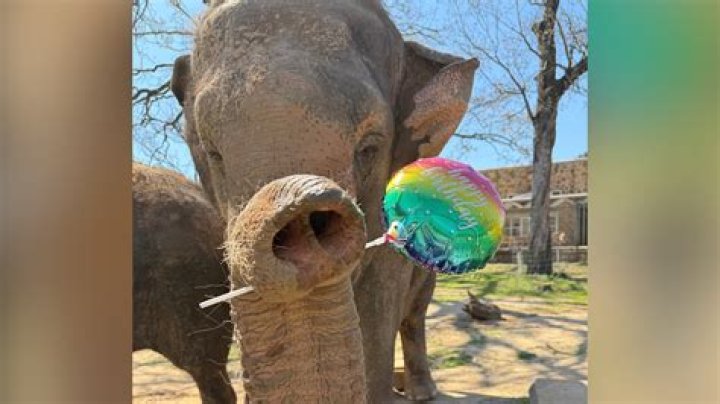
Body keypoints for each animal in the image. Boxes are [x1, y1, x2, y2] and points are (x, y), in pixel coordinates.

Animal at [170, 0, 477, 401]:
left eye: (368, 149)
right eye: (212, 153)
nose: (299, 221)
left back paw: (421, 392)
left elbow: (378, 317)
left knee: (414, 315)